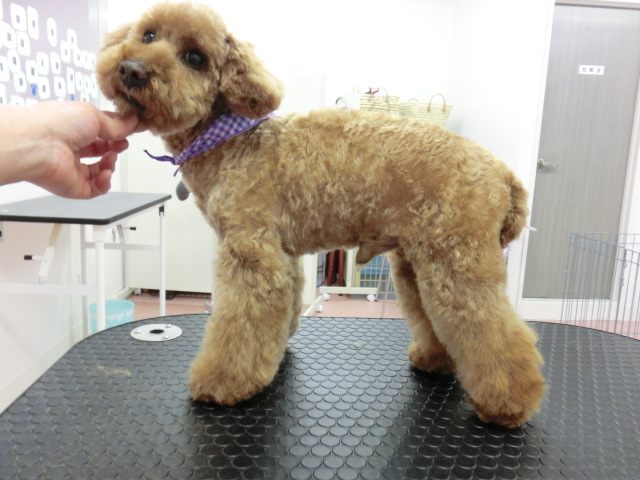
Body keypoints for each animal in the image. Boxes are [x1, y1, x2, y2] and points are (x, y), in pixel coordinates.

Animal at [97, 1, 545, 428]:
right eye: (148, 34)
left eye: (195, 58)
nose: (132, 69)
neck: (233, 141)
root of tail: (504, 172)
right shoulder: (283, 254)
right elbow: (287, 304)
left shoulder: (251, 252)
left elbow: (240, 322)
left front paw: (223, 383)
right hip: (418, 261)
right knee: (438, 319)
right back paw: (436, 360)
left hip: (457, 260)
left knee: (495, 330)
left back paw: (508, 404)